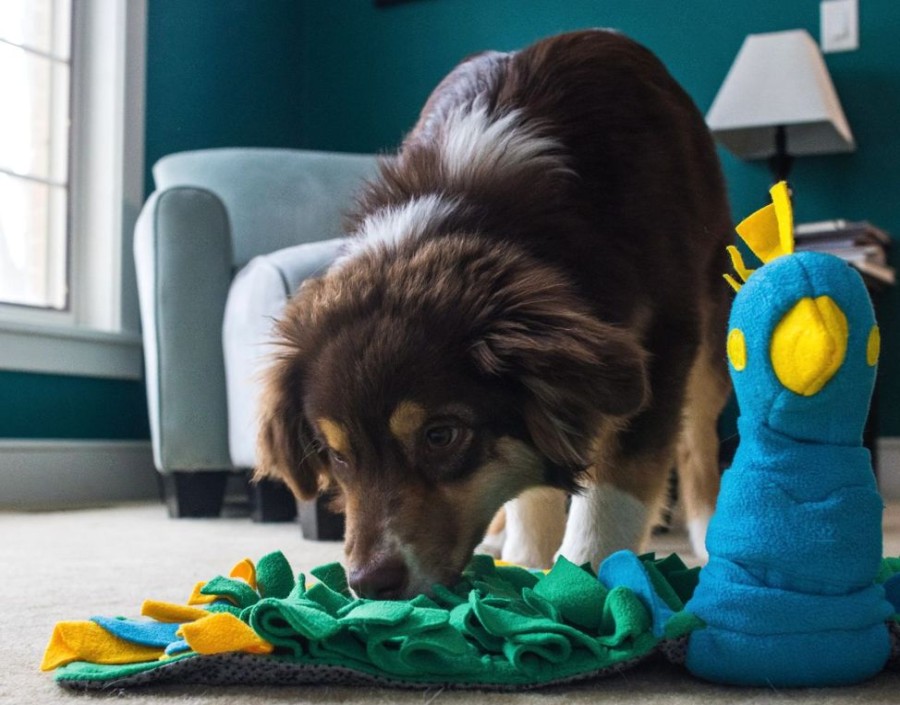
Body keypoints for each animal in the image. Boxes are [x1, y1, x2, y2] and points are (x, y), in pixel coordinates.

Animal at [253, 30, 732, 596]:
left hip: (710, 320)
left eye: (440, 435)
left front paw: (583, 576)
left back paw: (708, 529)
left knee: (699, 437)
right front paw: (527, 561)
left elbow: (615, 486)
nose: (368, 584)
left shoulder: (658, 343)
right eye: (337, 455)